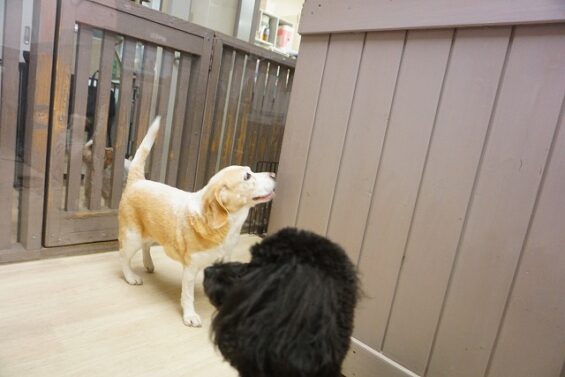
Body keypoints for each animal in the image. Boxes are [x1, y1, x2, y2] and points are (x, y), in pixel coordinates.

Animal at [118, 117, 276, 326]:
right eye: (247, 176)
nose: (274, 174)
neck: (228, 227)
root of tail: (138, 180)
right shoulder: (190, 269)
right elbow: (187, 295)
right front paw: (190, 316)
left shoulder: (224, 259)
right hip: (132, 236)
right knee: (123, 257)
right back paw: (130, 277)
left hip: (152, 232)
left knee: (146, 247)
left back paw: (149, 264)